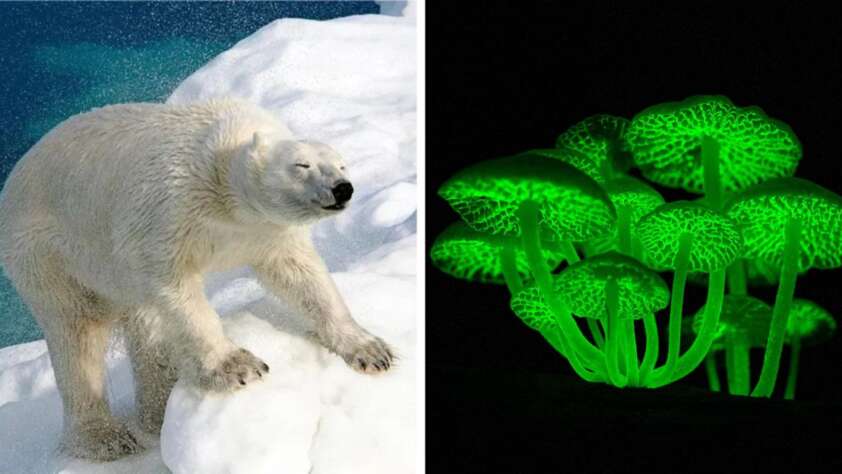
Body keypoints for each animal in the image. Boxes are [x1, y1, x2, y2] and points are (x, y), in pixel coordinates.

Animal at [0, 98, 395, 461]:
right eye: (302, 165)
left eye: (342, 163)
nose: (343, 188)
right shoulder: (170, 208)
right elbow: (175, 286)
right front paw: (238, 365)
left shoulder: (265, 232)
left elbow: (302, 276)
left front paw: (371, 350)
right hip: (52, 255)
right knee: (78, 335)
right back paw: (104, 438)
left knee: (144, 327)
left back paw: (156, 413)